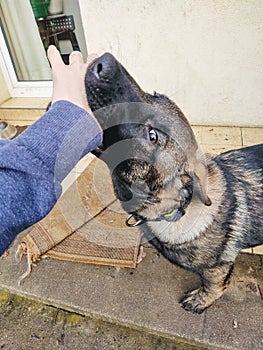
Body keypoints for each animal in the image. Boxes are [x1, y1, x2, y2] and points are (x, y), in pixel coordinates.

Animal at [85, 53, 262, 314]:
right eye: (156, 95)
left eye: (153, 136)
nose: (104, 62)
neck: (176, 208)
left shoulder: (217, 267)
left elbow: (213, 284)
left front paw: (202, 300)